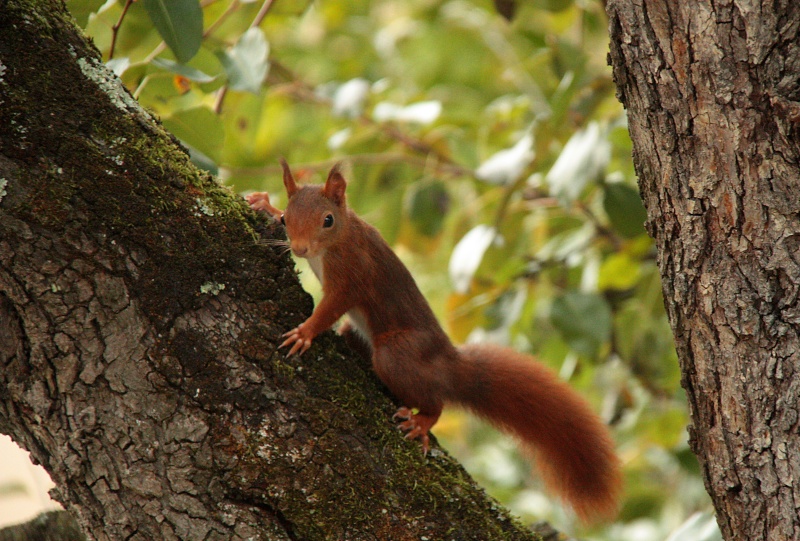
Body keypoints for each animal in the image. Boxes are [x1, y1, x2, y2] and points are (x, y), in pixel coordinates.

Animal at [247, 160, 620, 524]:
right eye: (287, 219)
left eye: (328, 220)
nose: (299, 248)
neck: (338, 239)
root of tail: (449, 363)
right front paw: (263, 203)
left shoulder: (352, 274)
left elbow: (332, 307)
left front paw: (304, 333)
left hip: (396, 355)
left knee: (434, 399)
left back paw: (422, 420)